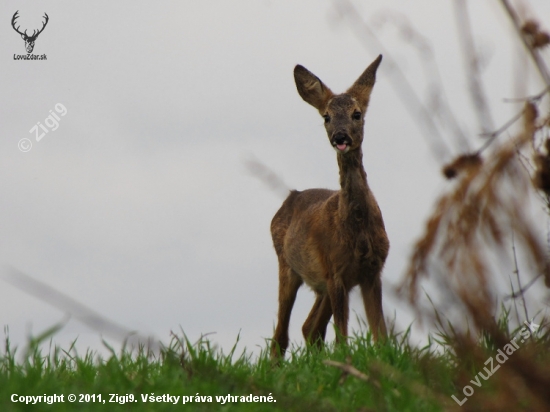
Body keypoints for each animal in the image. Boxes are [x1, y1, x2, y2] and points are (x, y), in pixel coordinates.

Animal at [270, 53, 388, 358]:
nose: (340, 137)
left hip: (320, 282)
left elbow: (381, 335)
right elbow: (342, 337)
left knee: (309, 327)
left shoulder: (372, 271)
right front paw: (345, 361)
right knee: (281, 336)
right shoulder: (337, 272)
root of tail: (290, 197)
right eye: (326, 117)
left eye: (357, 114)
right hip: (288, 266)